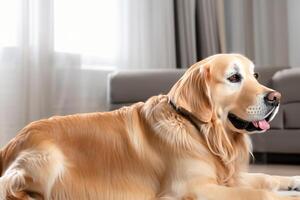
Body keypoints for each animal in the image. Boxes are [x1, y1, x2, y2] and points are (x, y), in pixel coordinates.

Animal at [0, 53, 300, 200]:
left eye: (255, 75)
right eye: (234, 77)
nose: (276, 97)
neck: (199, 131)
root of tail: (12, 142)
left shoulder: (225, 177)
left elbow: (267, 177)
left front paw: (294, 181)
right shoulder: (194, 188)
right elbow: (259, 193)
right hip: (48, 160)